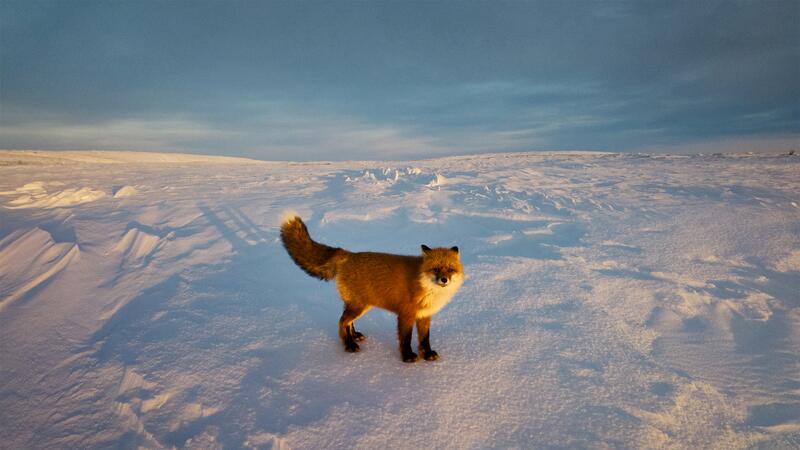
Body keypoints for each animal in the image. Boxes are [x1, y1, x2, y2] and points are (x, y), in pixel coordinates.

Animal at [282, 214, 466, 362]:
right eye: (436, 269)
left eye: (450, 269)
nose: (444, 280)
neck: (425, 285)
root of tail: (348, 254)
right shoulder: (406, 315)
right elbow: (406, 339)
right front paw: (407, 357)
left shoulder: (424, 316)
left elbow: (424, 339)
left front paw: (427, 354)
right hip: (359, 306)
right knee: (341, 322)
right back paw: (349, 344)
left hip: (357, 305)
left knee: (347, 322)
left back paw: (354, 336)